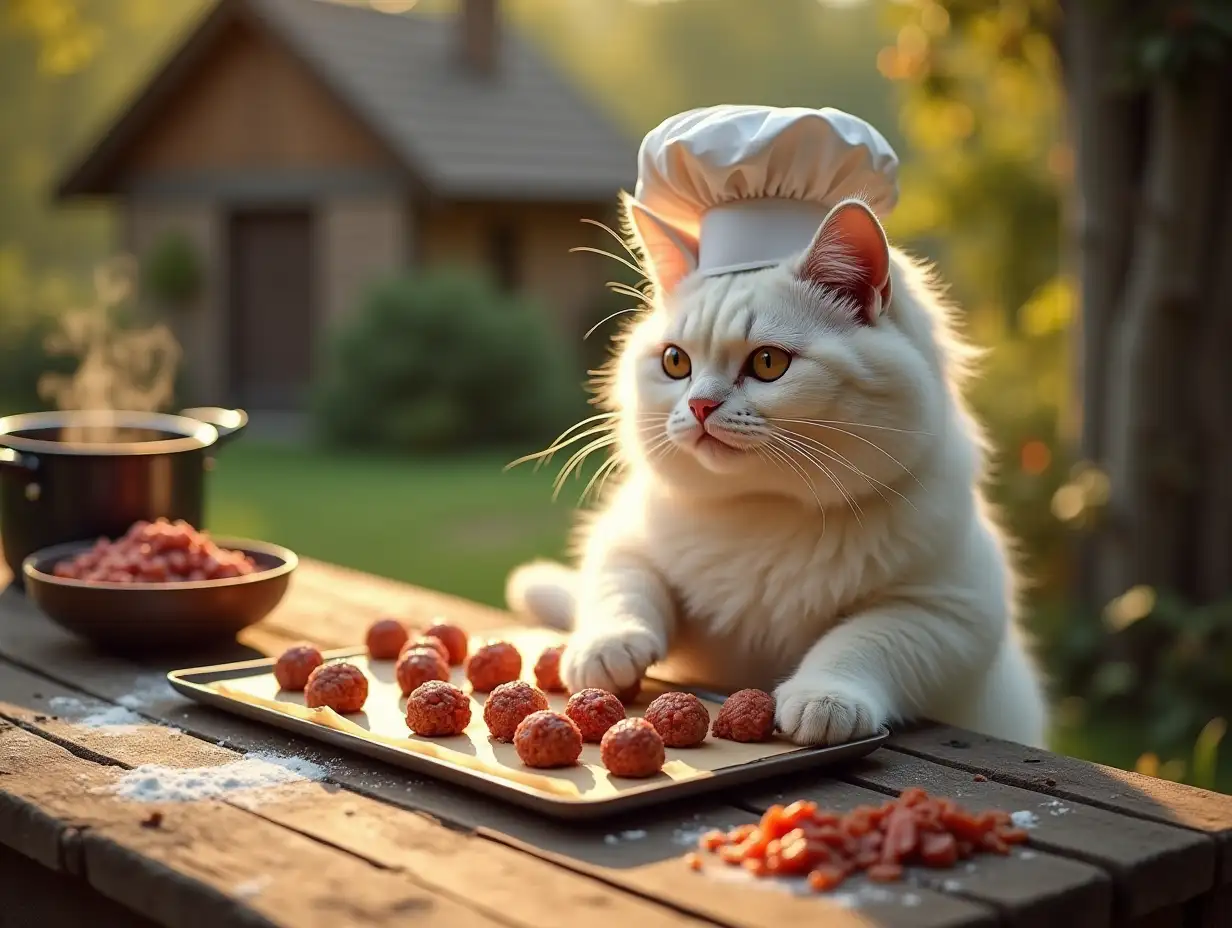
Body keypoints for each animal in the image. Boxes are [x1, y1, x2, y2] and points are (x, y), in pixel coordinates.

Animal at [505, 195, 1044, 744]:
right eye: (675, 362)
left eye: (768, 363)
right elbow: (621, 582)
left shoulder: (949, 609)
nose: (699, 405)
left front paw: (824, 698)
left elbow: (865, 639)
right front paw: (606, 647)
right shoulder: (625, 534)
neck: (765, 508)